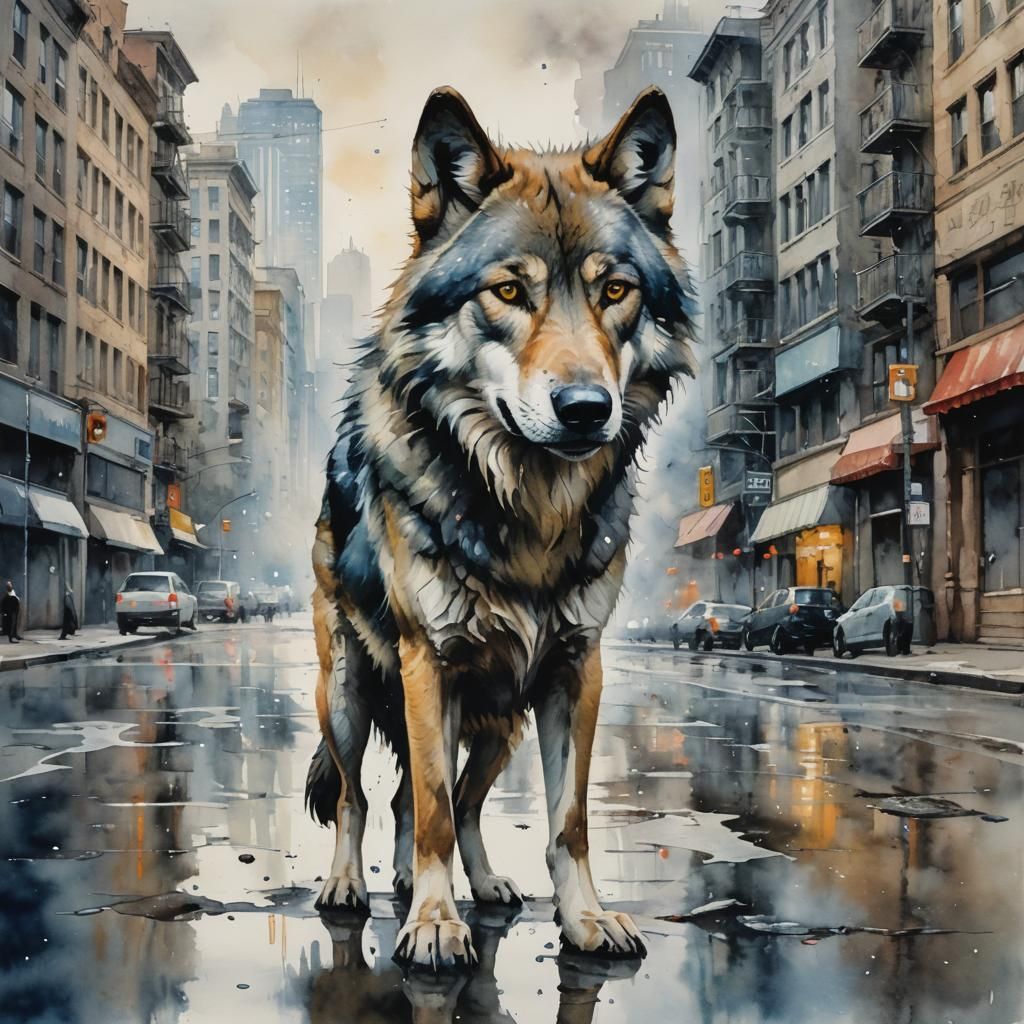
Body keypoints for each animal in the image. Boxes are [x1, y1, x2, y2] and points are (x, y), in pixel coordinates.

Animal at [307, 84, 696, 971]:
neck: (529, 513)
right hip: (348, 696)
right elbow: (427, 813)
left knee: (460, 803)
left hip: (499, 724)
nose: (586, 409)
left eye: (613, 291)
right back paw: (350, 885)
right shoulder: (429, 665)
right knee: (359, 799)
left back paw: (479, 886)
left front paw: (586, 920)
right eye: (509, 293)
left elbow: (565, 821)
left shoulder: (574, 671)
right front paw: (432, 925)